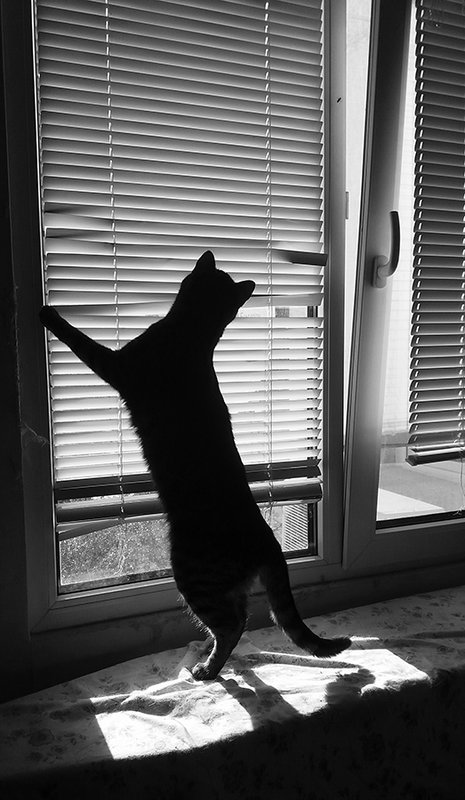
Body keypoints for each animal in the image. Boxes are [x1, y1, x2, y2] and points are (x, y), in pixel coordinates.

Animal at [40, 250, 351, 679]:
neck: (192, 333)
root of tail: (266, 537)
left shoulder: (121, 365)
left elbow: (82, 342)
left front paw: (50, 315)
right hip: (224, 584)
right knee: (241, 618)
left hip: (192, 572)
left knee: (231, 625)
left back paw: (207, 668)